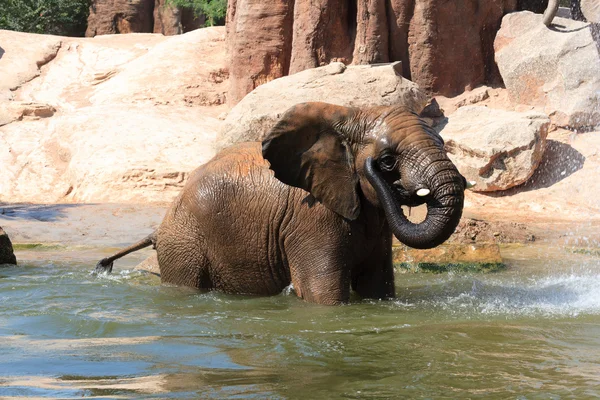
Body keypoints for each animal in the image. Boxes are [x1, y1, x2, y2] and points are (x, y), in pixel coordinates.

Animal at [95, 101, 468, 304]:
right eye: (388, 161)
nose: (374, 165)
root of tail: (159, 228)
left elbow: (377, 286)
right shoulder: (312, 218)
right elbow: (323, 293)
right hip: (184, 245)